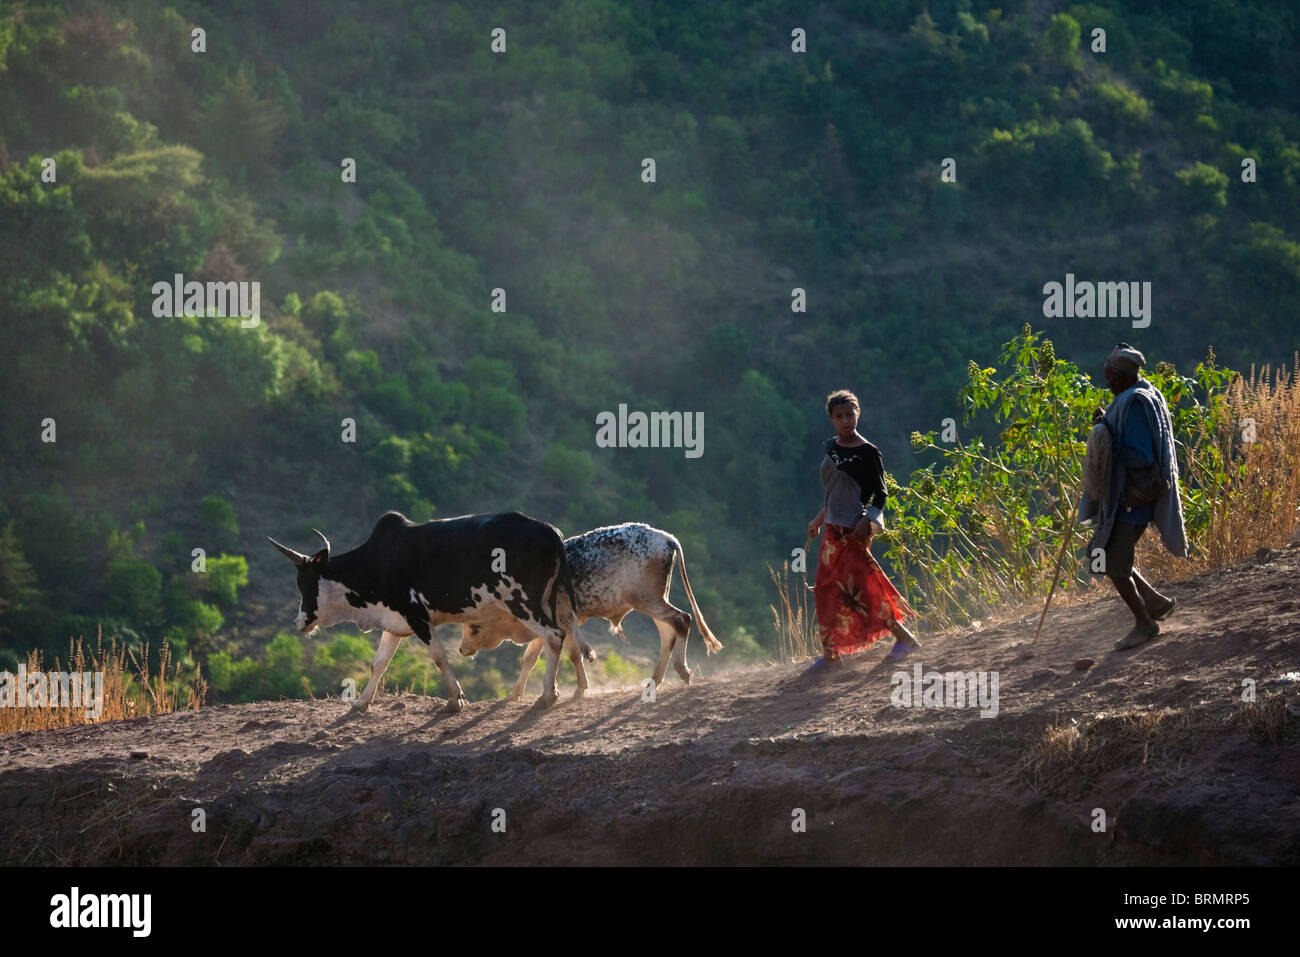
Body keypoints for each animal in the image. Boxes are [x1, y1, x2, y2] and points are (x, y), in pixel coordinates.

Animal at [271, 514, 587, 712]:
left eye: (303, 583)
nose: (298, 621)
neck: (378, 562)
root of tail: (550, 531)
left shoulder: (417, 616)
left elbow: (438, 656)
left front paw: (455, 700)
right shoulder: (394, 622)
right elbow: (379, 663)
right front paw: (362, 703)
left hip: (523, 602)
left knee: (553, 637)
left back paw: (546, 696)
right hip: (554, 603)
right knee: (563, 639)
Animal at [457, 522, 722, 702]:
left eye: (474, 626)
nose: (461, 649)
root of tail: (664, 537)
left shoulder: (563, 623)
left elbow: (574, 655)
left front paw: (579, 689)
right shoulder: (548, 628)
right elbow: (530, 659)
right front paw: (515, 693)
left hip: (649, 601)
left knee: (683, 620)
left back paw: (682, 671)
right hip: (654, 601)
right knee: (669, 633)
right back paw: (655, 680)